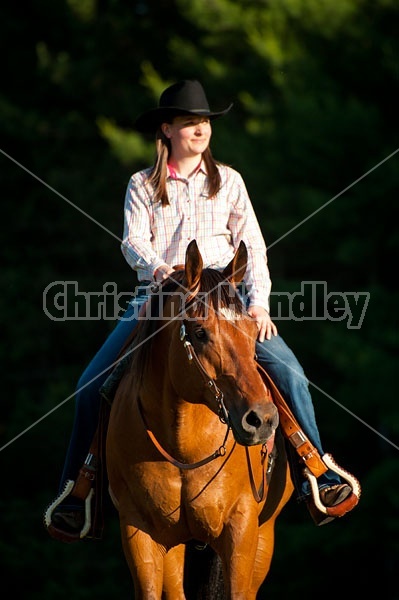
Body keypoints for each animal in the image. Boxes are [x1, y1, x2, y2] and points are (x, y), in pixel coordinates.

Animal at [106, 240, 294, 600]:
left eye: (251, 329)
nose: (261, 419)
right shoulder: (139, 532)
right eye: (200, 332)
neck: (184, 448)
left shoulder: (242, 530)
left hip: (265, 536)